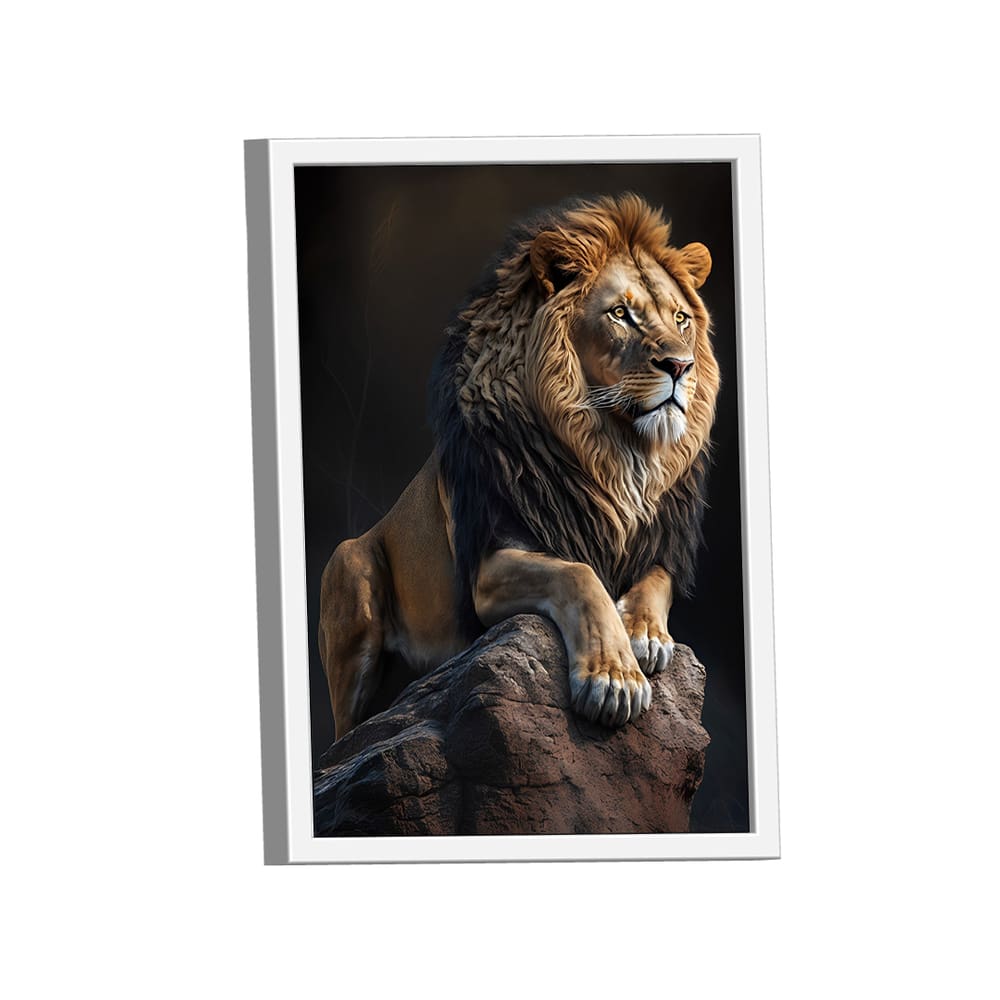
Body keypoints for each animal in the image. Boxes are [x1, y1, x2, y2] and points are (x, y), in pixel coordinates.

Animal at [319, 193, 720, 738]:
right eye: (620, 314)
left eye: (680, 319)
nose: (681, 366)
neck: (616, 454)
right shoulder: (489, 564)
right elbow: (579, 575)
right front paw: (614, 679)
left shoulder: (660, 545)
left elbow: (657, 582)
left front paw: (646, 634)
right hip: (347, 565)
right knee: (343, 735)